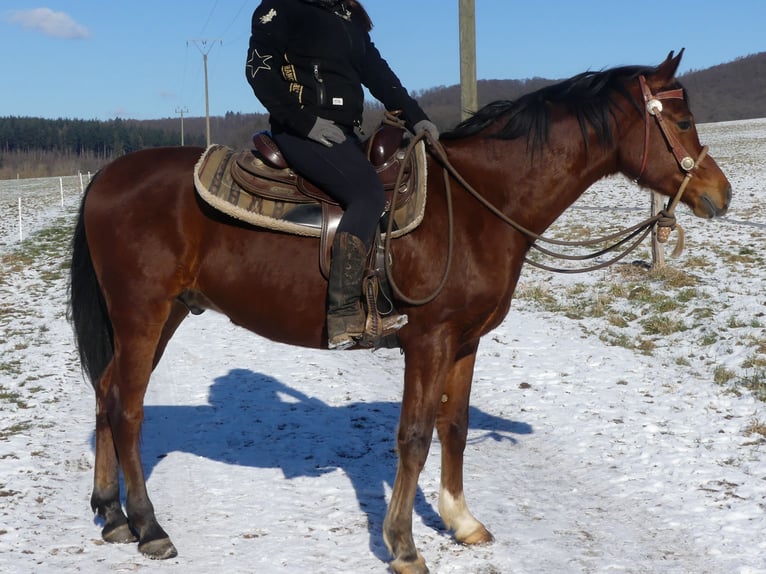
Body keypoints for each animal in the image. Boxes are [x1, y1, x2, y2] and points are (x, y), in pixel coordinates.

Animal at [67, 50, 732, 574]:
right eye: (682, 119)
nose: (719, 194)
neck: (476, 205)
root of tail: (105, 178)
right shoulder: (428, 340)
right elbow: (413, 436)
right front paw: (404, 547)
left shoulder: (466, 341)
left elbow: (454, 427)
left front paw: (462, 521)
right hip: (143, 314)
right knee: (127, 409)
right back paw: (150, 527)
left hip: (167, 315)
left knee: (105, 394)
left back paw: (111, 513)